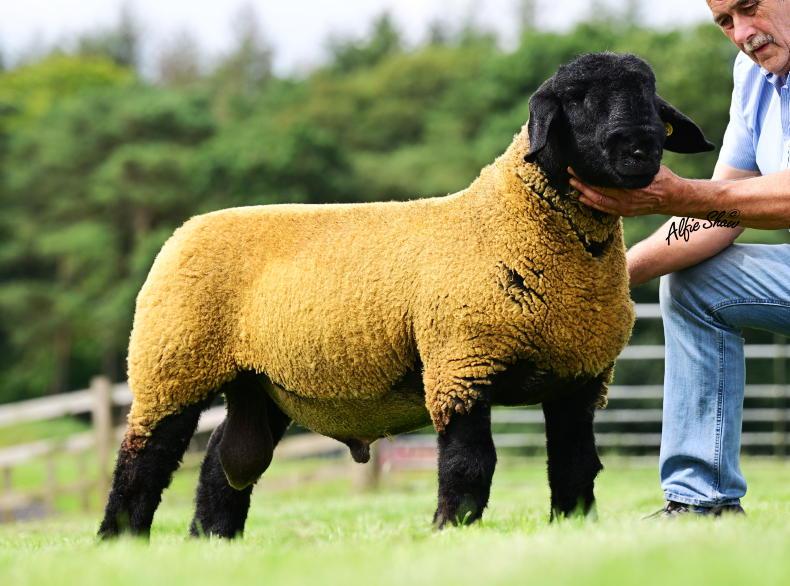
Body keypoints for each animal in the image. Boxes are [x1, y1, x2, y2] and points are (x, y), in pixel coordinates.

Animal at [98, 52, 713, 539]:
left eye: (650, 95)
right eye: (578, 98)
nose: (640, 148)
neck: (509, 222)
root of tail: (186, 230)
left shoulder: (578, 378)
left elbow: (576, 465)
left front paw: (572, 527)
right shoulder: (461, 363)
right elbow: (470, 464)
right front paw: (450, 530)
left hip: (259, 383)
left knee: (222, 467)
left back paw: (210, 542)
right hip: (172, 363)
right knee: (141, 464)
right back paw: (120, 543)